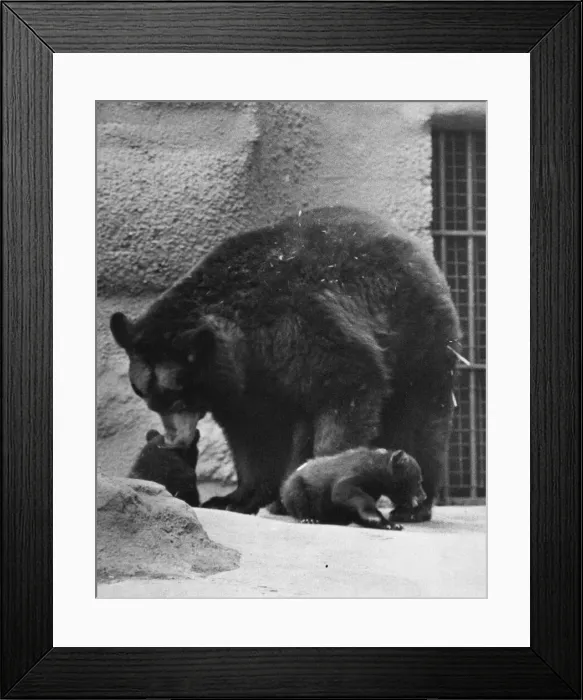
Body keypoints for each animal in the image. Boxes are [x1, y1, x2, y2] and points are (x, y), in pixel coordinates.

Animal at [110, 205, 461, 520]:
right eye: (145, 395)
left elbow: (348, 386)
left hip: (416, 334)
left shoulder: (302, 322)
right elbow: (252, 433)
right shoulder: (247, 381)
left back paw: (414, 505)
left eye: (178, 395)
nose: (173, 441)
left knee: (421, 414)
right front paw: (234, 499)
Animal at [280, 447, 426, 529]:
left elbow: (353, 508)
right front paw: (373, 516)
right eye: (419, 481)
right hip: (298, 485)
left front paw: (391, 524)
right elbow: (342, 491)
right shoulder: (356, 472)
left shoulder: (374, 489)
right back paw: (308, 518)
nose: (424, 496)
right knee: (297, 496)